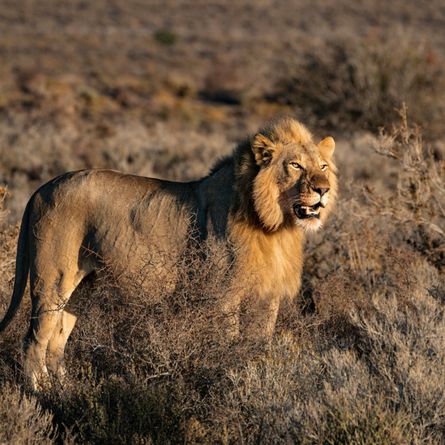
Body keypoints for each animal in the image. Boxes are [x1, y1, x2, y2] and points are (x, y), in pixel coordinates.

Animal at [0, 116, 336, 386]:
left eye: (323, 166)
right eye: (295, 165)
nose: (323, 189)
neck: (275, 226)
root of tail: (41, 188)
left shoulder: (268, 297)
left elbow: (259, 344)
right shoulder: (224, 296)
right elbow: (228, 343)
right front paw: (229, 377)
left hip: (82, 286)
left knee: (58, 338)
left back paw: (66, 390)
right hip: (52, 280)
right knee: (34, 340)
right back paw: (41, 393)